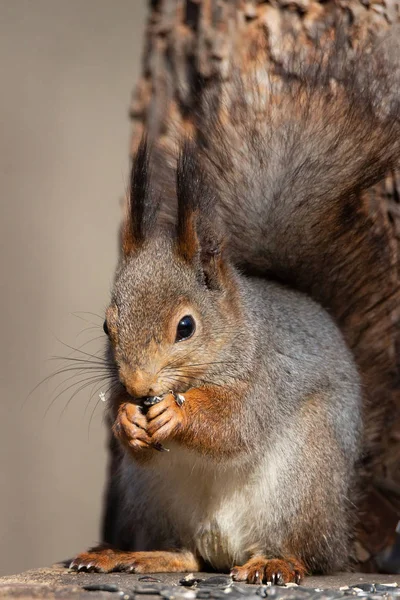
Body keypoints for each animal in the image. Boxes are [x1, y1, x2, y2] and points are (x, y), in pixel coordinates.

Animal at [69, 39, 400, 584]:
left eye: (186, 326)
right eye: (106, 326)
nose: (139, 386)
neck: (237, 333)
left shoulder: (266, 375)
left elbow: (234, 426)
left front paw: (178, 415)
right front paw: (127, 418)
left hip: (304, 478)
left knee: (304, 552)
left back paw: (275, 562)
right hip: (151, 496)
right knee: (188, 554)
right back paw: (135, 554)